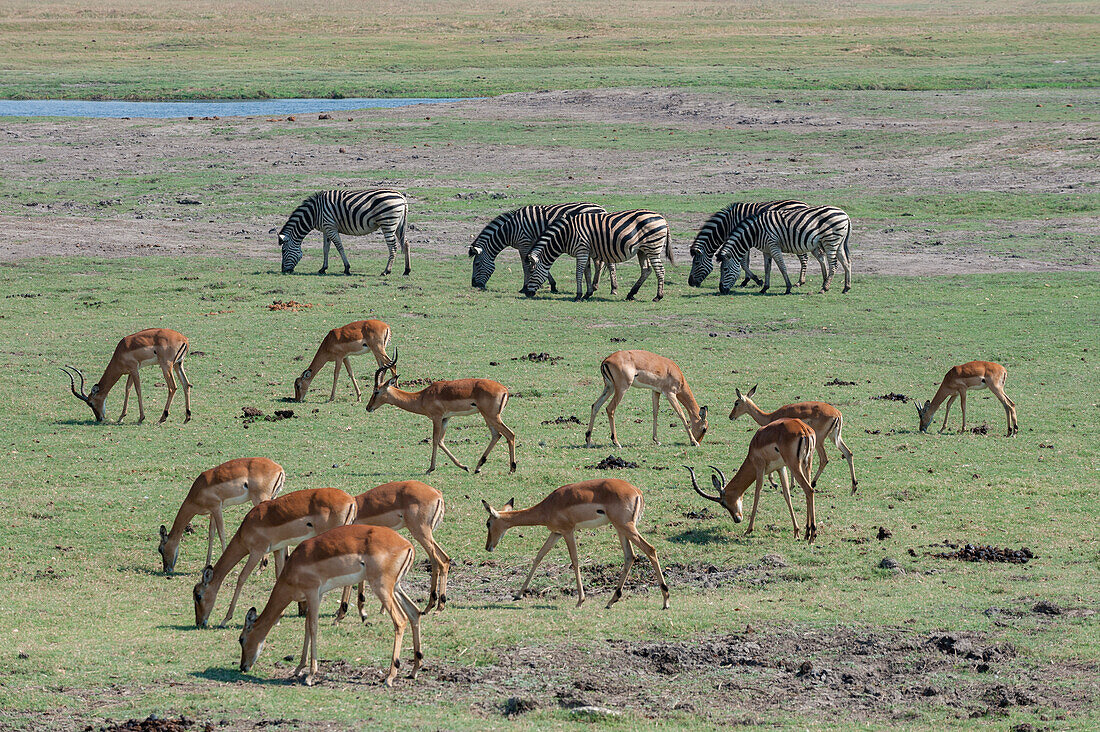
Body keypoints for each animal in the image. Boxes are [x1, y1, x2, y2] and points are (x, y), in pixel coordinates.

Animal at [279, 188, 409, 277]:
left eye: (283, 251)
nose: (283, 271)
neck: (315, 213)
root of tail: (401, 196)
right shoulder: (326, 229)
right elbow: (325, 248)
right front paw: (323, 268)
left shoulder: (331, 227)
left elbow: (339, 247)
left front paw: (347, 268)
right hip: (398, 225)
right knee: (406, 244)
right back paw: (407, 270)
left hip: (388, 223)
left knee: (393, 247)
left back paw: (386, 271)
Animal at [466, 201, 620, 292]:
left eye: (477, 264)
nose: (475, 285)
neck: (510, 229)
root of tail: (602, 209)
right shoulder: (532, 245)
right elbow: (537, 262)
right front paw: (552, 285)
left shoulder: (524, 243)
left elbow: (525, 265)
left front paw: (524, 287)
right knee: (599, 262)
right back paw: (595, 285)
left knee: (608, 263)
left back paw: (613, 288)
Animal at [521, 210, 668, 301]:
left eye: (532, 272)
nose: (527, 294)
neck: (565, 236)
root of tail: (662, 218)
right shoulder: (586, 252)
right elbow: (587, 272)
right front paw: (587, 294)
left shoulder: (581, 251)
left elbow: (578, 273)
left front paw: (578, 295)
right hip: (642, 250)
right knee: (646, 270)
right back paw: (631, 294)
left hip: (652, 248)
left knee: (660, 270)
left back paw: (658, 296)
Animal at [686, 202, 818, 290]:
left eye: (696, 263)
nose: (690, 283)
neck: (727, 223)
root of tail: (804, 204)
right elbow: (745, 261)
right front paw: (747, 280)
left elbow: (743, 262)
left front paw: (756, 280)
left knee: (804, 258)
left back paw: (800, 281)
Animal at [712, 202, 849, 295]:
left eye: (724, 269)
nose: (721, 290)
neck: (756, 232)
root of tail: (845, 214)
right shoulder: (766, 250)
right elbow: (767, 268)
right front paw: (764, 287)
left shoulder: (773, 246)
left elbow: (782, 266)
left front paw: (788, 287)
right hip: (838, 243)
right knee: (846, 262)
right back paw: (846, 287)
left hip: (830, 241)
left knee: (834, 265)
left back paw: (824, 288)